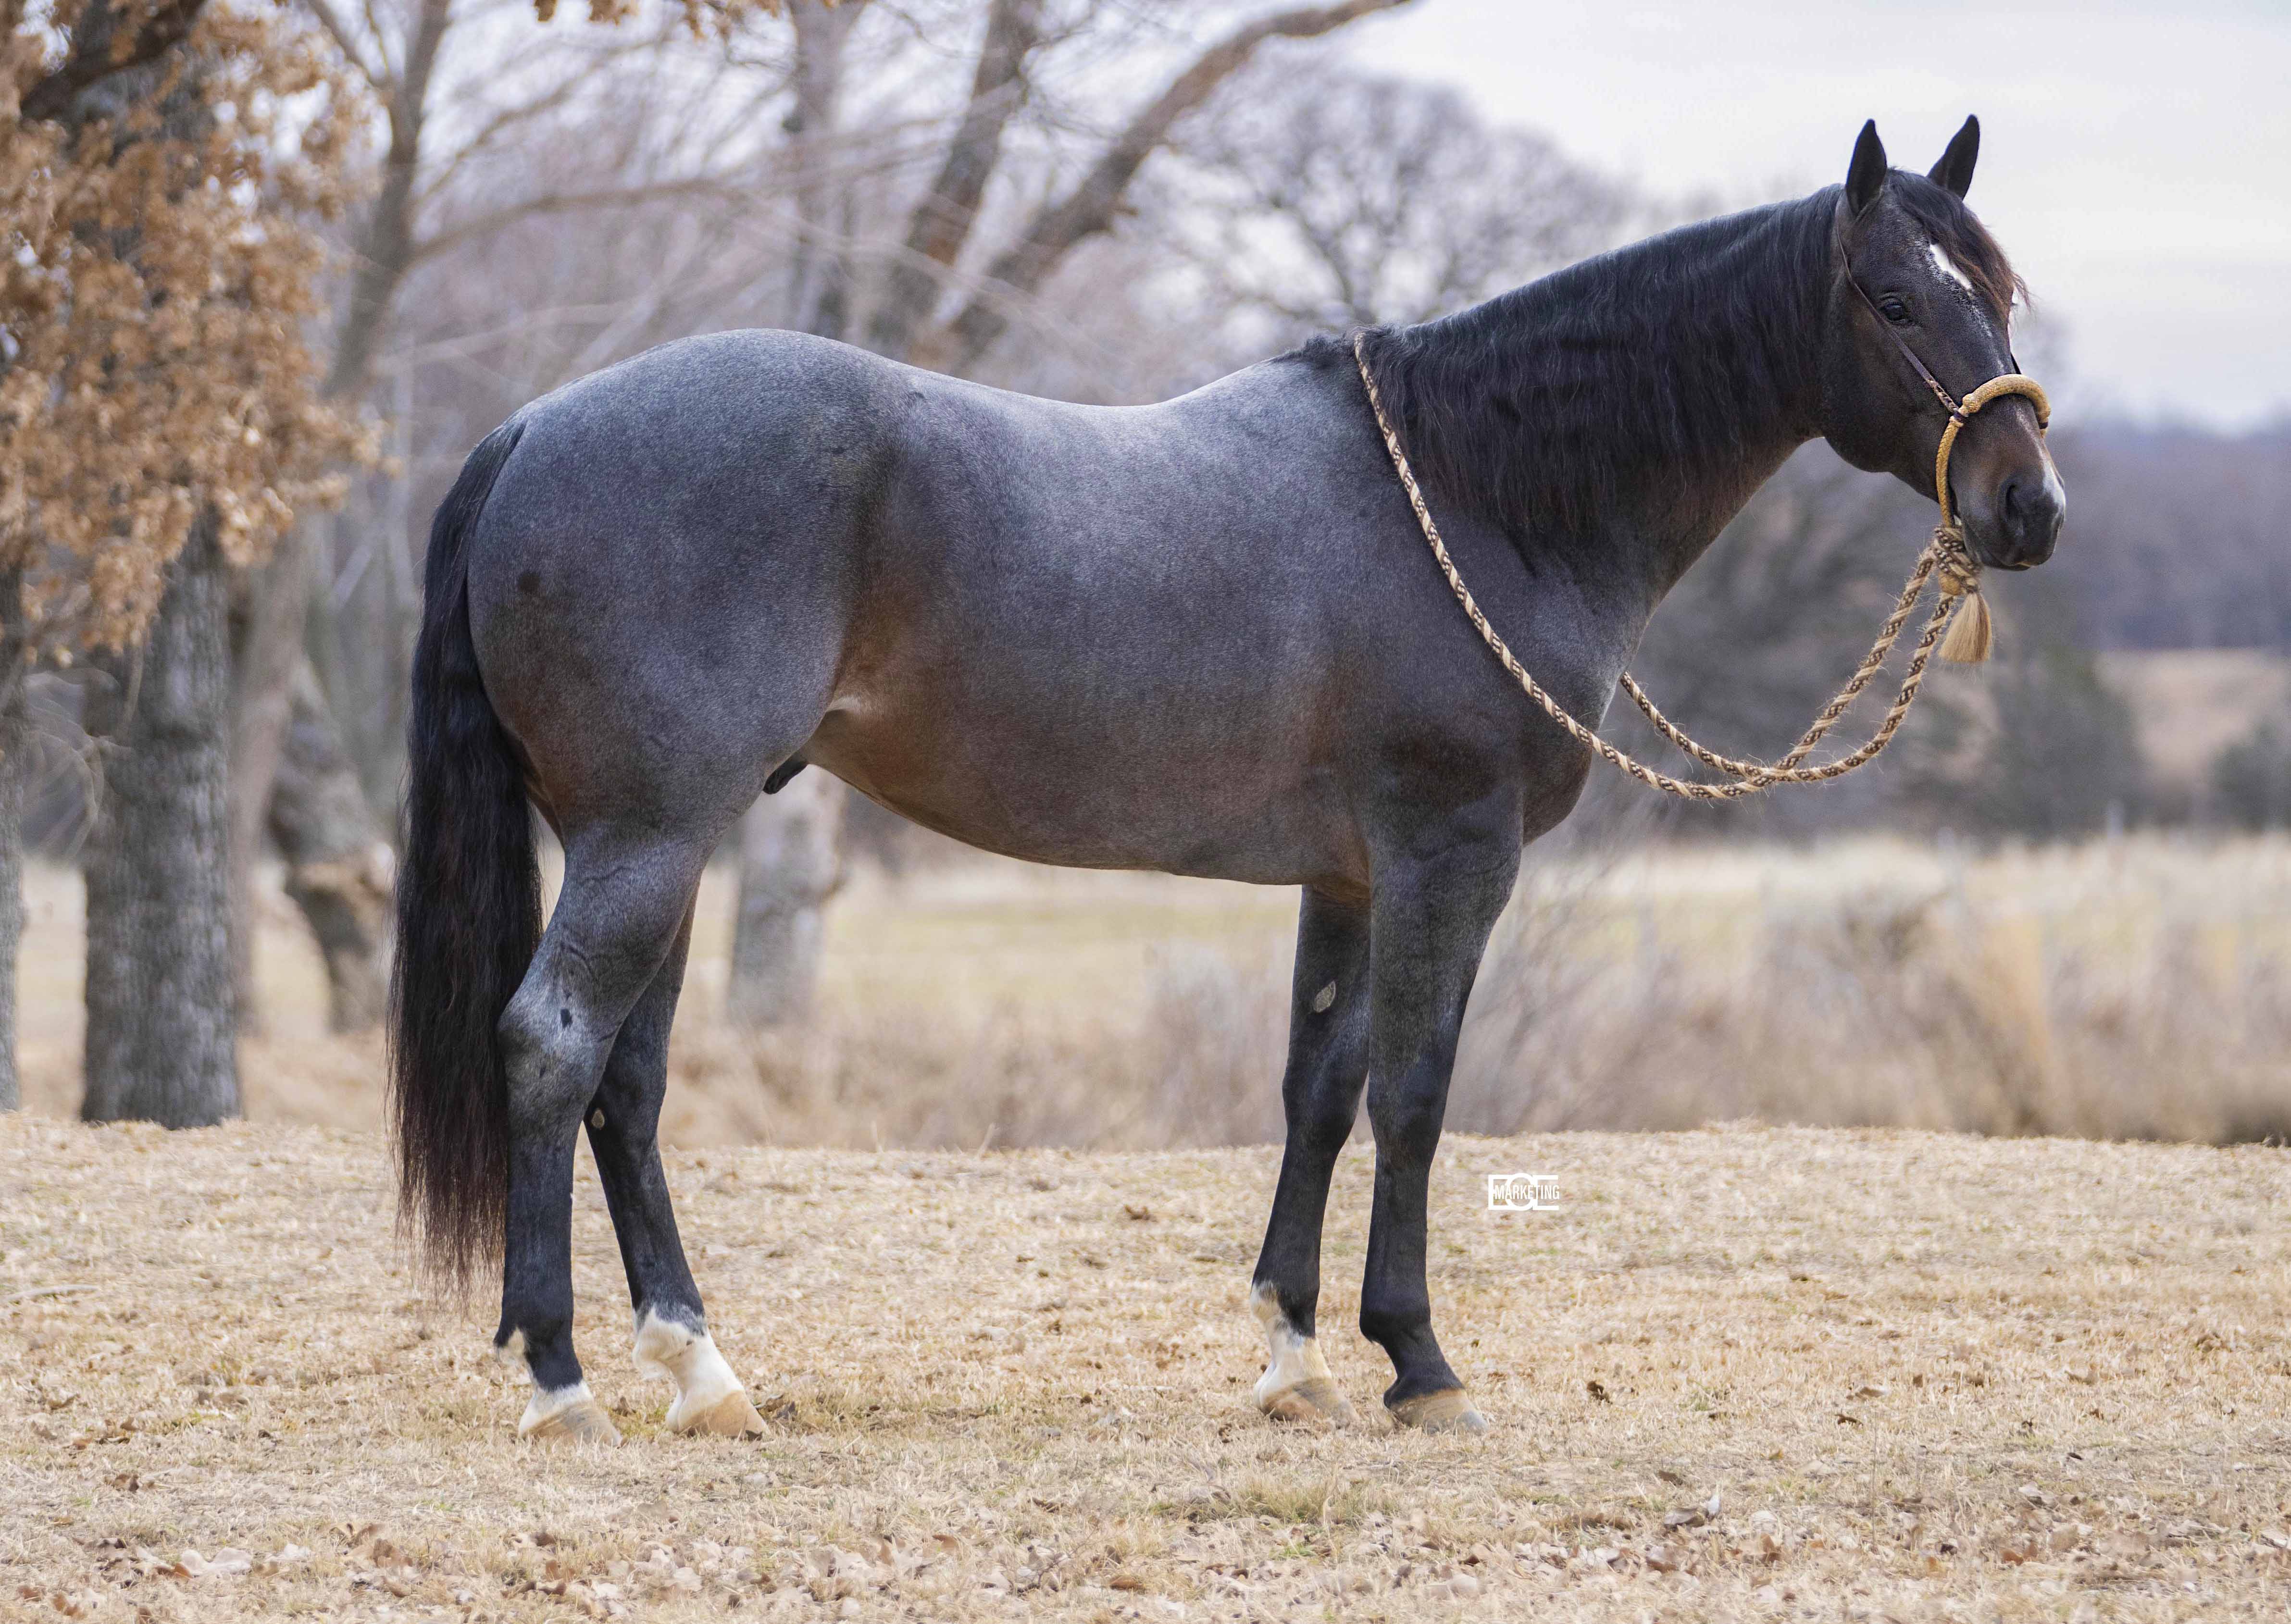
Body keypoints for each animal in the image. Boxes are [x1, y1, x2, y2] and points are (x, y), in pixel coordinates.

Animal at [394, 120, 2080, 1438]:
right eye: (1888, 298)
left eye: (1996, 291)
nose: (2028, 507)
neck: (1475, 495)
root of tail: (532, 425)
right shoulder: (1449, 857)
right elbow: (1413, 1092)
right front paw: (1417, 1360)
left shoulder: (1346, 875)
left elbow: (1317, 1089)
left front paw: (1292, 1354)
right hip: (649, 835)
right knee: (552, 1047)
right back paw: (559, 1376)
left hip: (658, 843)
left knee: (626, 1085)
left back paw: (700, 1370)